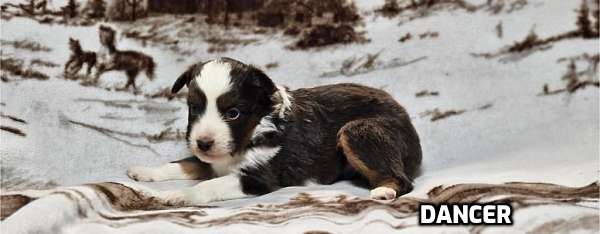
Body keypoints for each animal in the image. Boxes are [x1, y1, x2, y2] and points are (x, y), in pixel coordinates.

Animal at [126, 57, 422, 205]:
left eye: (233, 113)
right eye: (195, 108)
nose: (204, 143)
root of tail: (403, 112)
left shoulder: (259, 178)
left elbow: (210, 184)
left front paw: (179, 195)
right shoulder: (211, 160)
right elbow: (184, 163)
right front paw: (145, 172)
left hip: (358, 130)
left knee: (404, 180)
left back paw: (385, 191)